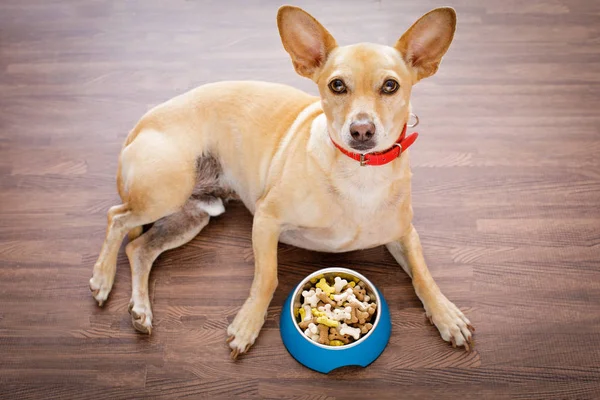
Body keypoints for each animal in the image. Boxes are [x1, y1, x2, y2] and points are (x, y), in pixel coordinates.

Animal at [89, 6, 474, 358]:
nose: (361, 130)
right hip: (166, 193)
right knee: (116, 217)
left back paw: (141, 310)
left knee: (139, 249)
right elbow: (267, 278)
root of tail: (141, 124)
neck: (360, 175)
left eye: (390, 86)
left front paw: (447, 315)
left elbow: (423, 275)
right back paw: (102, 279)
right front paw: (247, 324)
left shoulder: (405, 234)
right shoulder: (266, 220)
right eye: (337, 85)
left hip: (191, 216)